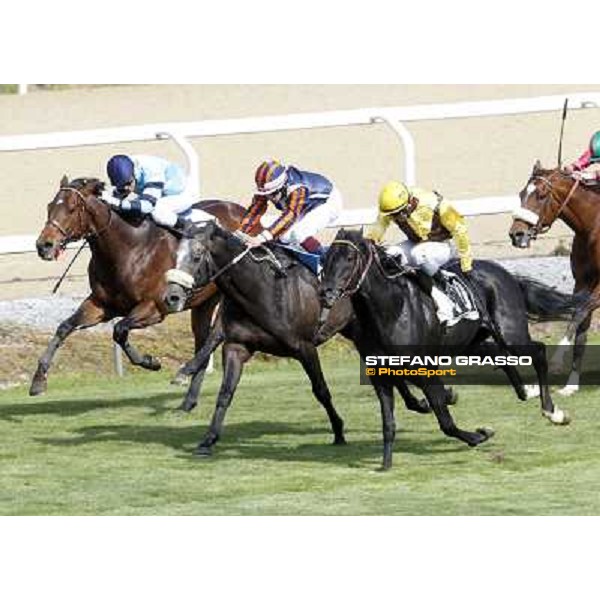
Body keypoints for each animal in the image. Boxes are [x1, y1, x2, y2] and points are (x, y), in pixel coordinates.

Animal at [31, 176, 252, 396]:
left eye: (72, 209)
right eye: (49, 206)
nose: (44, 245)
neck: (130, 249)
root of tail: (241, 210)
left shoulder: (154, 307)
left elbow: (119, 329)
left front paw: (150, 362)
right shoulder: (102, 305)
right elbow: (65, 327)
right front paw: (38, 380)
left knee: (217, 334)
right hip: (204, 301)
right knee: (202, 336)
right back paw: (188, 374)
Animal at [324, 229, 580, 468]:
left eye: (349, 257)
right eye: (327, 257)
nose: (327, 293)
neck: (392, 309)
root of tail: (504, 272)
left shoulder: (423, 369)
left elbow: (445, 420)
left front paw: (480, 435)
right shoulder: (380, 373)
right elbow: (388, 421)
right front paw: (385, 464)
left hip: (510, 331)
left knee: (537, 352)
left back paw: (552, 411)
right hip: (469, 342)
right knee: (498, 354)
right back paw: (527, 391)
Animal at [508, 163, 596, 398]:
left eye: (541, 195)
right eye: (521, 193)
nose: (516, 235)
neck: (592, 227)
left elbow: (579, 314)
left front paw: (556, 360)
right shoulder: (582, 282)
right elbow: (580, 329)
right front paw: (571, 385)